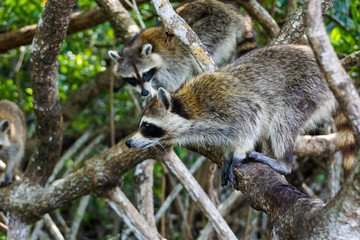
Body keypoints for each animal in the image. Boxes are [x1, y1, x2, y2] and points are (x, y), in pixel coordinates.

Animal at [108, 0, 258, 96]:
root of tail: (236, 13)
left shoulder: (172, 61)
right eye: (132, 79)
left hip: (216, 25)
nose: (144, 93)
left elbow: (174, 81)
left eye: (145, 74)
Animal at [125, 44, 356, 186]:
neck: (190, 108)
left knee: (284, 118)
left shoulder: (230, 104)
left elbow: (253, 114)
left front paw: (237, 153)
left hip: (307, 88)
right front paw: (228, 153)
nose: (128, 143)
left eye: (146, 126)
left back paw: (283, 162)